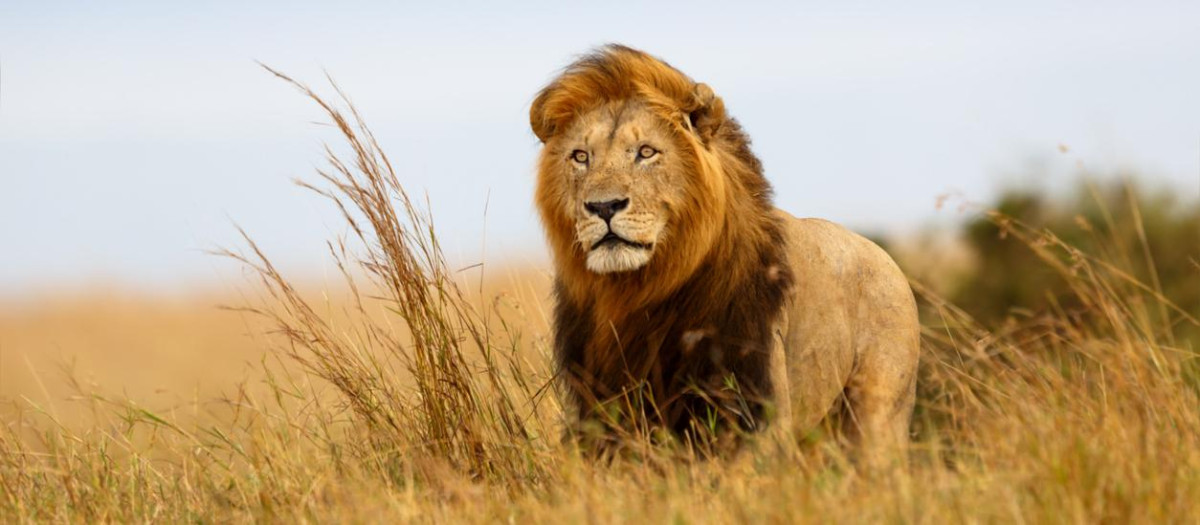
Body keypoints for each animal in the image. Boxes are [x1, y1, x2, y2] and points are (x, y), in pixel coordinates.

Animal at [531, 45, 920, 463]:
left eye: (646, 152)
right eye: (580, 157)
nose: (603, 207)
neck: (638, 291)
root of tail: (887, 260)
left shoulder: (755, 405)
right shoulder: (601, 408)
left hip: (878, 414)